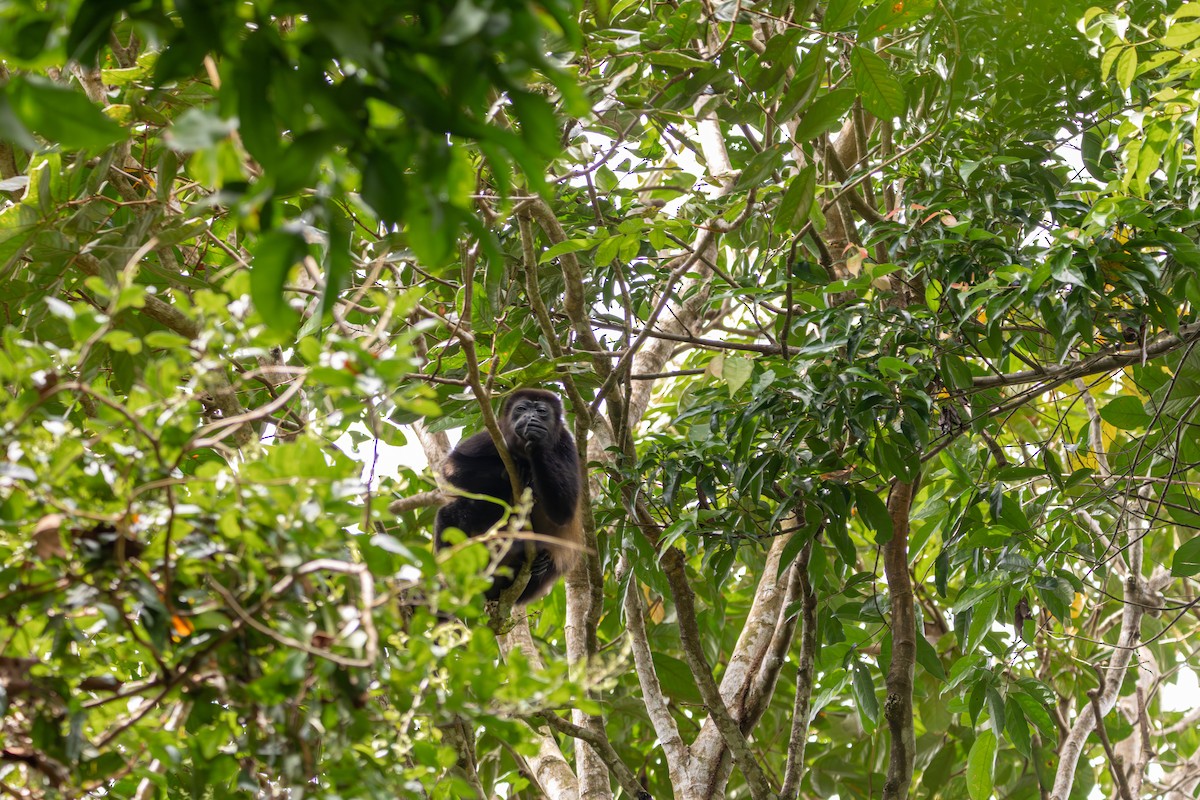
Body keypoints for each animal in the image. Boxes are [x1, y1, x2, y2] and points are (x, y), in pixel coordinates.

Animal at [434, 389, 583, 605]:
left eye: (541, 411)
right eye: (521, 408)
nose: (530, 416)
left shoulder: (567, 444)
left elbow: (564, 510)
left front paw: (537, 445)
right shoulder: (495, 434)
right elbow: (451, 467)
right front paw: (518, 467)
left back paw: (538, 565)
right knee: (456, 512)